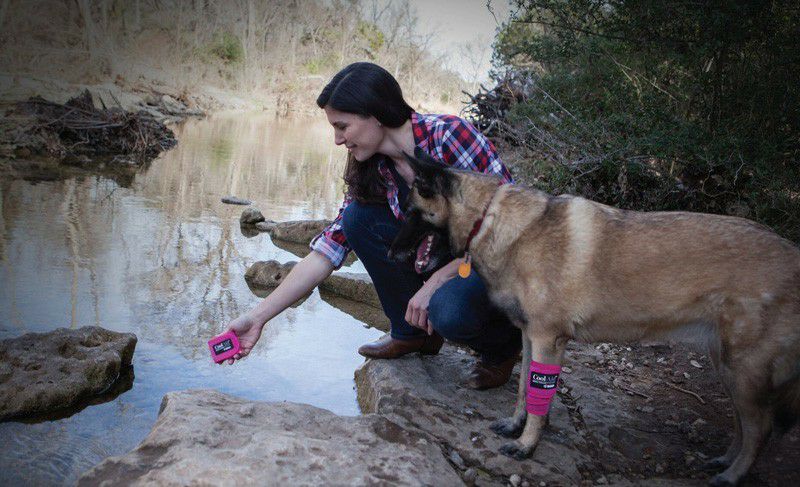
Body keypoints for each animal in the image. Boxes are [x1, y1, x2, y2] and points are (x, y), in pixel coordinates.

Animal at [389, 148, 800, 487]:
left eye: (409, 212)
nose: (391, 254)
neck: (490, 216)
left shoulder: (547, 341)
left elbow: (538, 399)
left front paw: (527, 445)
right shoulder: (530, 338)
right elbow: (524, 388)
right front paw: (517, 425)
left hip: (743, 368)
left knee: (760, 427)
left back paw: (733, 475)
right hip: (727, 365)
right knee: (743, 423)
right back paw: (725, 460)